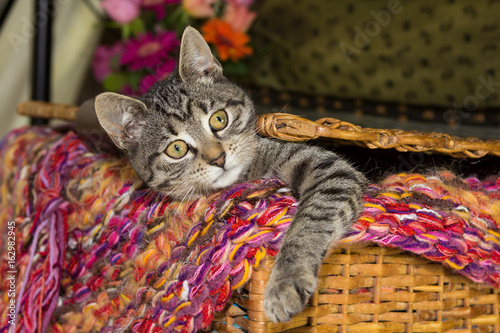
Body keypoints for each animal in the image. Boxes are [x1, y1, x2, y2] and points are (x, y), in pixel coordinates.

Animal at [94, 26, 368, 322]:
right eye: (176, 148)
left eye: (219, 119)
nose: (218, 158)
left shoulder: (330, 170)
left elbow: (310, 220)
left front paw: (286, 281)